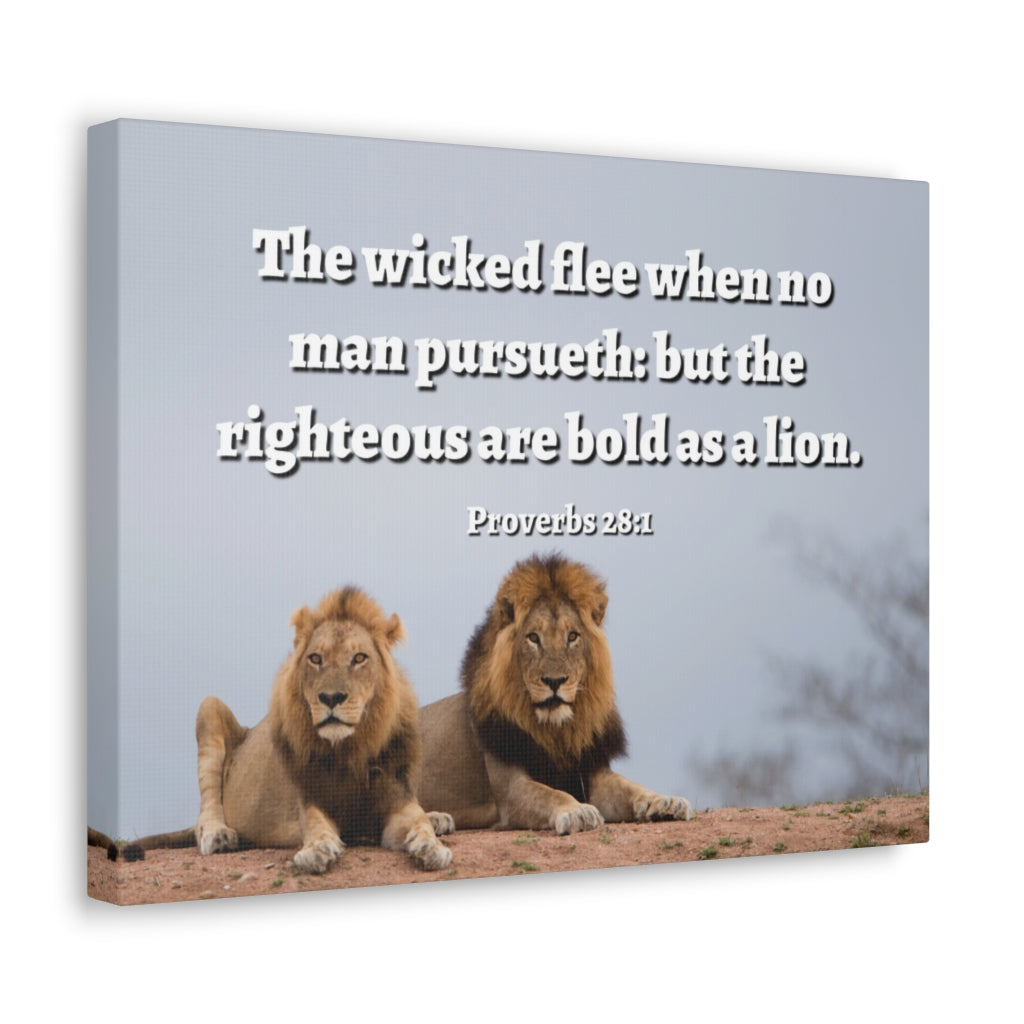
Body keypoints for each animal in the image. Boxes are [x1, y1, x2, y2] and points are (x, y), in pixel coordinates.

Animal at [130, 587, 453, 873]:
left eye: (359, 658)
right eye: (316, 658)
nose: (331, 697)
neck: (350, 750)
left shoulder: (397, 799)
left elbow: (418, 822)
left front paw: (432, 846)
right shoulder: (309, 801)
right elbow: (317, 826)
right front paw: (317, 850)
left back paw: (439, 818)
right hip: (209, 707)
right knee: (205, 811)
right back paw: (218, 834)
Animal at [417, 554, 694, 835]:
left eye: (572, 636)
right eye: (533, 637)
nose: (555, 681)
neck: (557, 731)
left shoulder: (592, 772)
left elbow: (630, 786)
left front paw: (664, 801)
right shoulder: (510, 790)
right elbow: (550, 794)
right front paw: (577, 811)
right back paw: (436, 819)